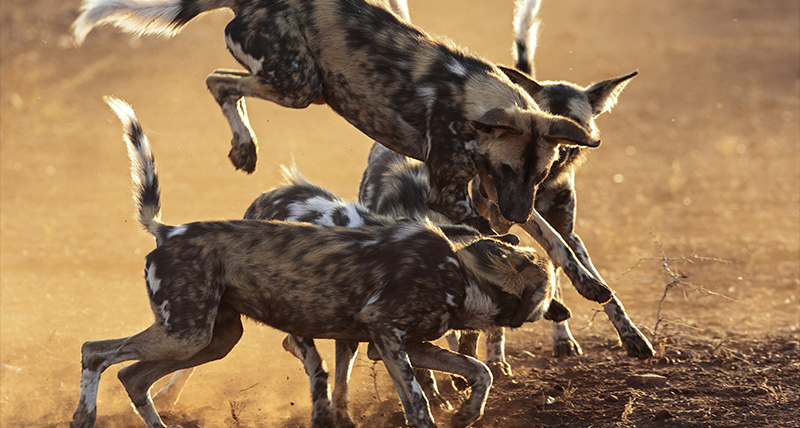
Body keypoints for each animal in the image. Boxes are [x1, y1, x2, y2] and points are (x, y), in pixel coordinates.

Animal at [69, 97, 568, 428]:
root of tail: (169, 230)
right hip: (186, 333)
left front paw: (466, 411)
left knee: (133, 377)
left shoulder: (405, 342)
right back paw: (85, 414)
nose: (561, 311)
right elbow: (419, 401)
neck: (463, 274)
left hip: (211, 338)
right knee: (96, 352)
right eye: (547, 298)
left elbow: (479, 371)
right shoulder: (386, 335)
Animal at [72, 0, 600, 234]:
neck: (472, 98)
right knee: (218, 81)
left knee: (221, 82)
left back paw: (244, 149)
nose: (518, 214)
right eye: (510, 168)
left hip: (296, 85)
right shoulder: (450, 194)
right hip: (299, 84)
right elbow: (478, 229)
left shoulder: (484, 188)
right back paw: (245, 147)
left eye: (541, 174)